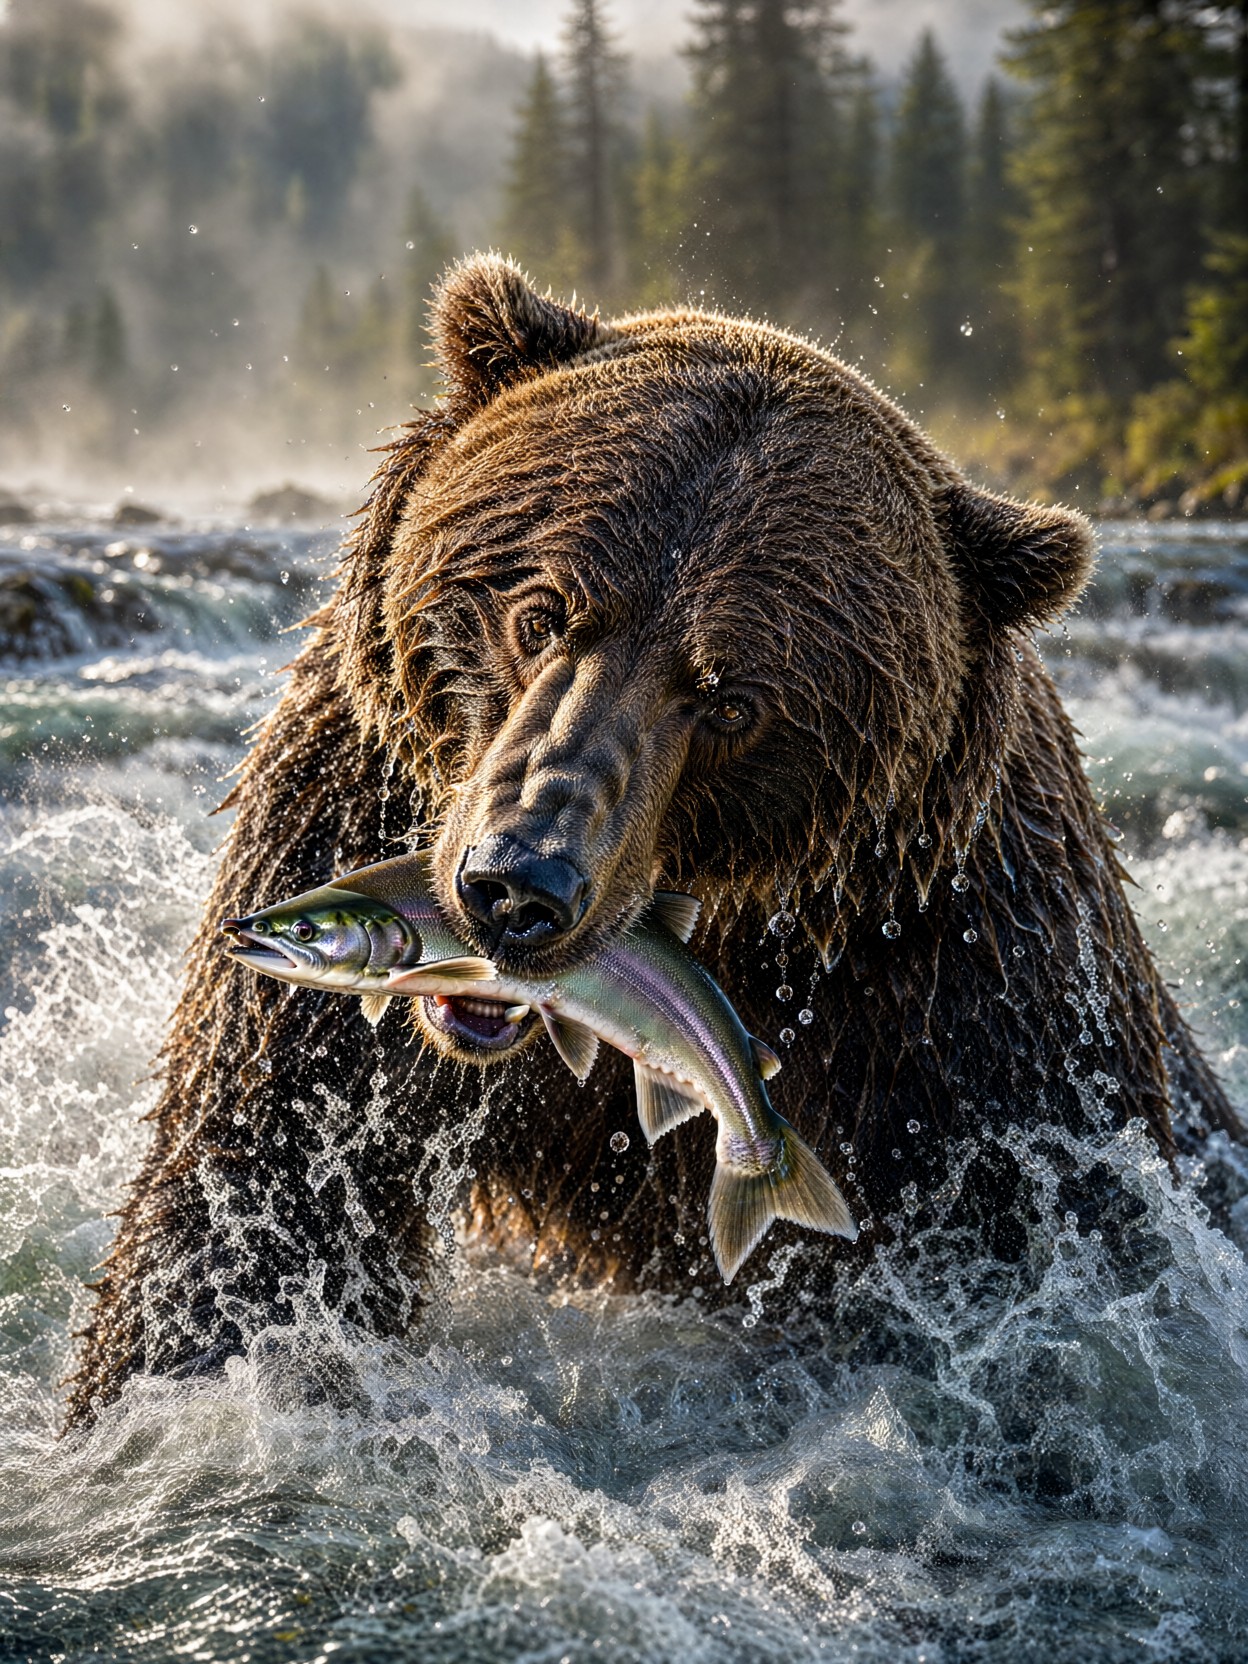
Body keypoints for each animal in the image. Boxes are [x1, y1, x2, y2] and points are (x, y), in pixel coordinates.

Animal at [66, 254, 1240, 1426]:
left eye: (729, 700)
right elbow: (251, 1191)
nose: (518, 886)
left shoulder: (969, 994)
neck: (749, 928)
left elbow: (1041, 1238)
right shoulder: (341, 813)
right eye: (540, 611)